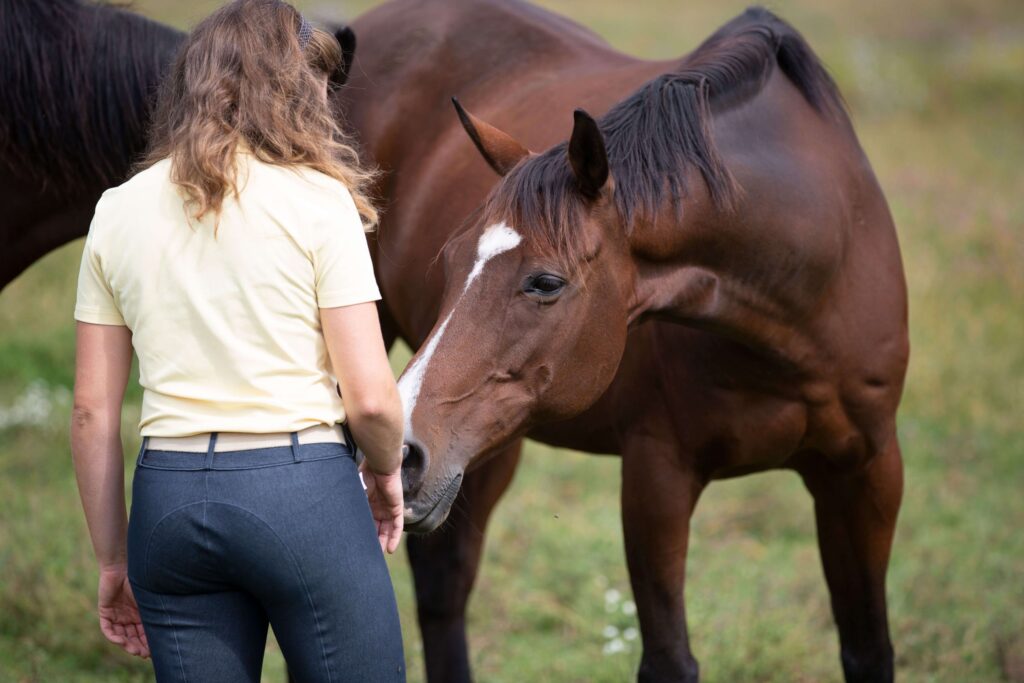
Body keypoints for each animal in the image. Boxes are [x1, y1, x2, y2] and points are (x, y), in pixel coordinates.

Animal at [341, 1, 909, 681]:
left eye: (546, 281)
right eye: (448, 263)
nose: (395, 454)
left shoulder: (868, 472)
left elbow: (869, 648)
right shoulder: (656, 476)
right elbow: (669, 659)